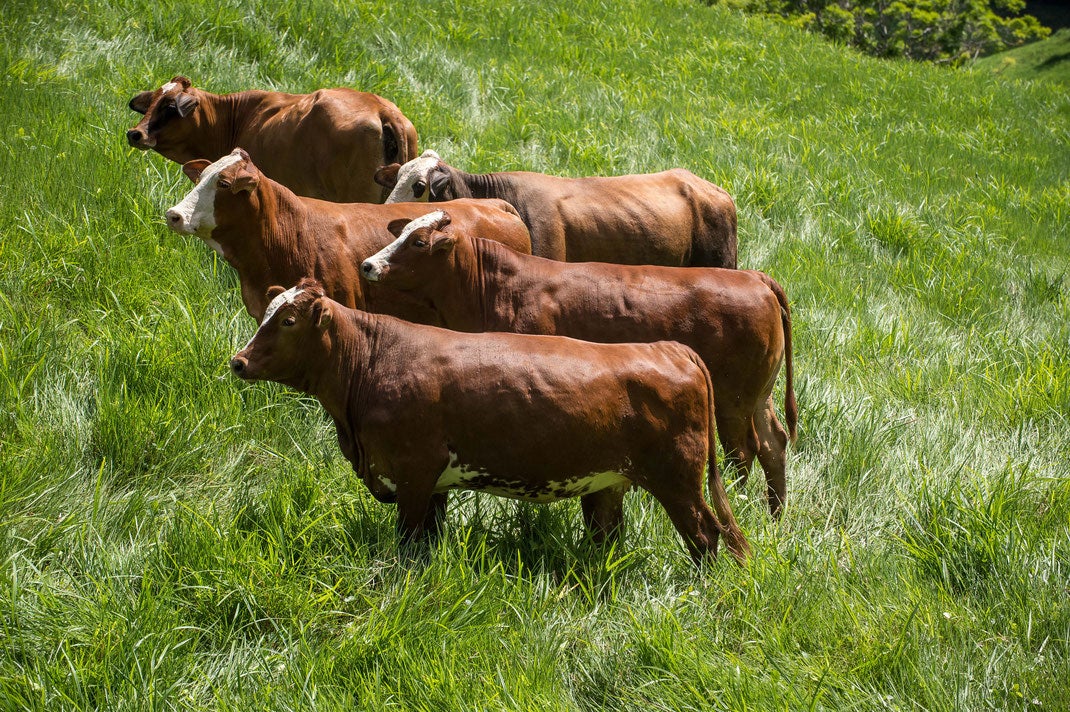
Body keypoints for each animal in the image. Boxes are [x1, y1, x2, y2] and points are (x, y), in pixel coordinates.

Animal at [230, 276, 749, 561]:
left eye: (287, 321)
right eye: (265, 316)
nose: (238, 361)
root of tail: (671, 348)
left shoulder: (414, 472)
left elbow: (408, 544)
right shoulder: (432, 483)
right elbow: (427, 541)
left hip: (678, 480)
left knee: (707, 536)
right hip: (609, 484)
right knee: (609, 538)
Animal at [363, 210, 800, 516]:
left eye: (418, 242)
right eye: (399, 234)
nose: (369, 265)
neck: (497, 288)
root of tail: (755, 278)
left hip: (732, 402)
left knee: (743, 452)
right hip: (758, 398)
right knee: (773, 445)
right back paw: (774, 514)